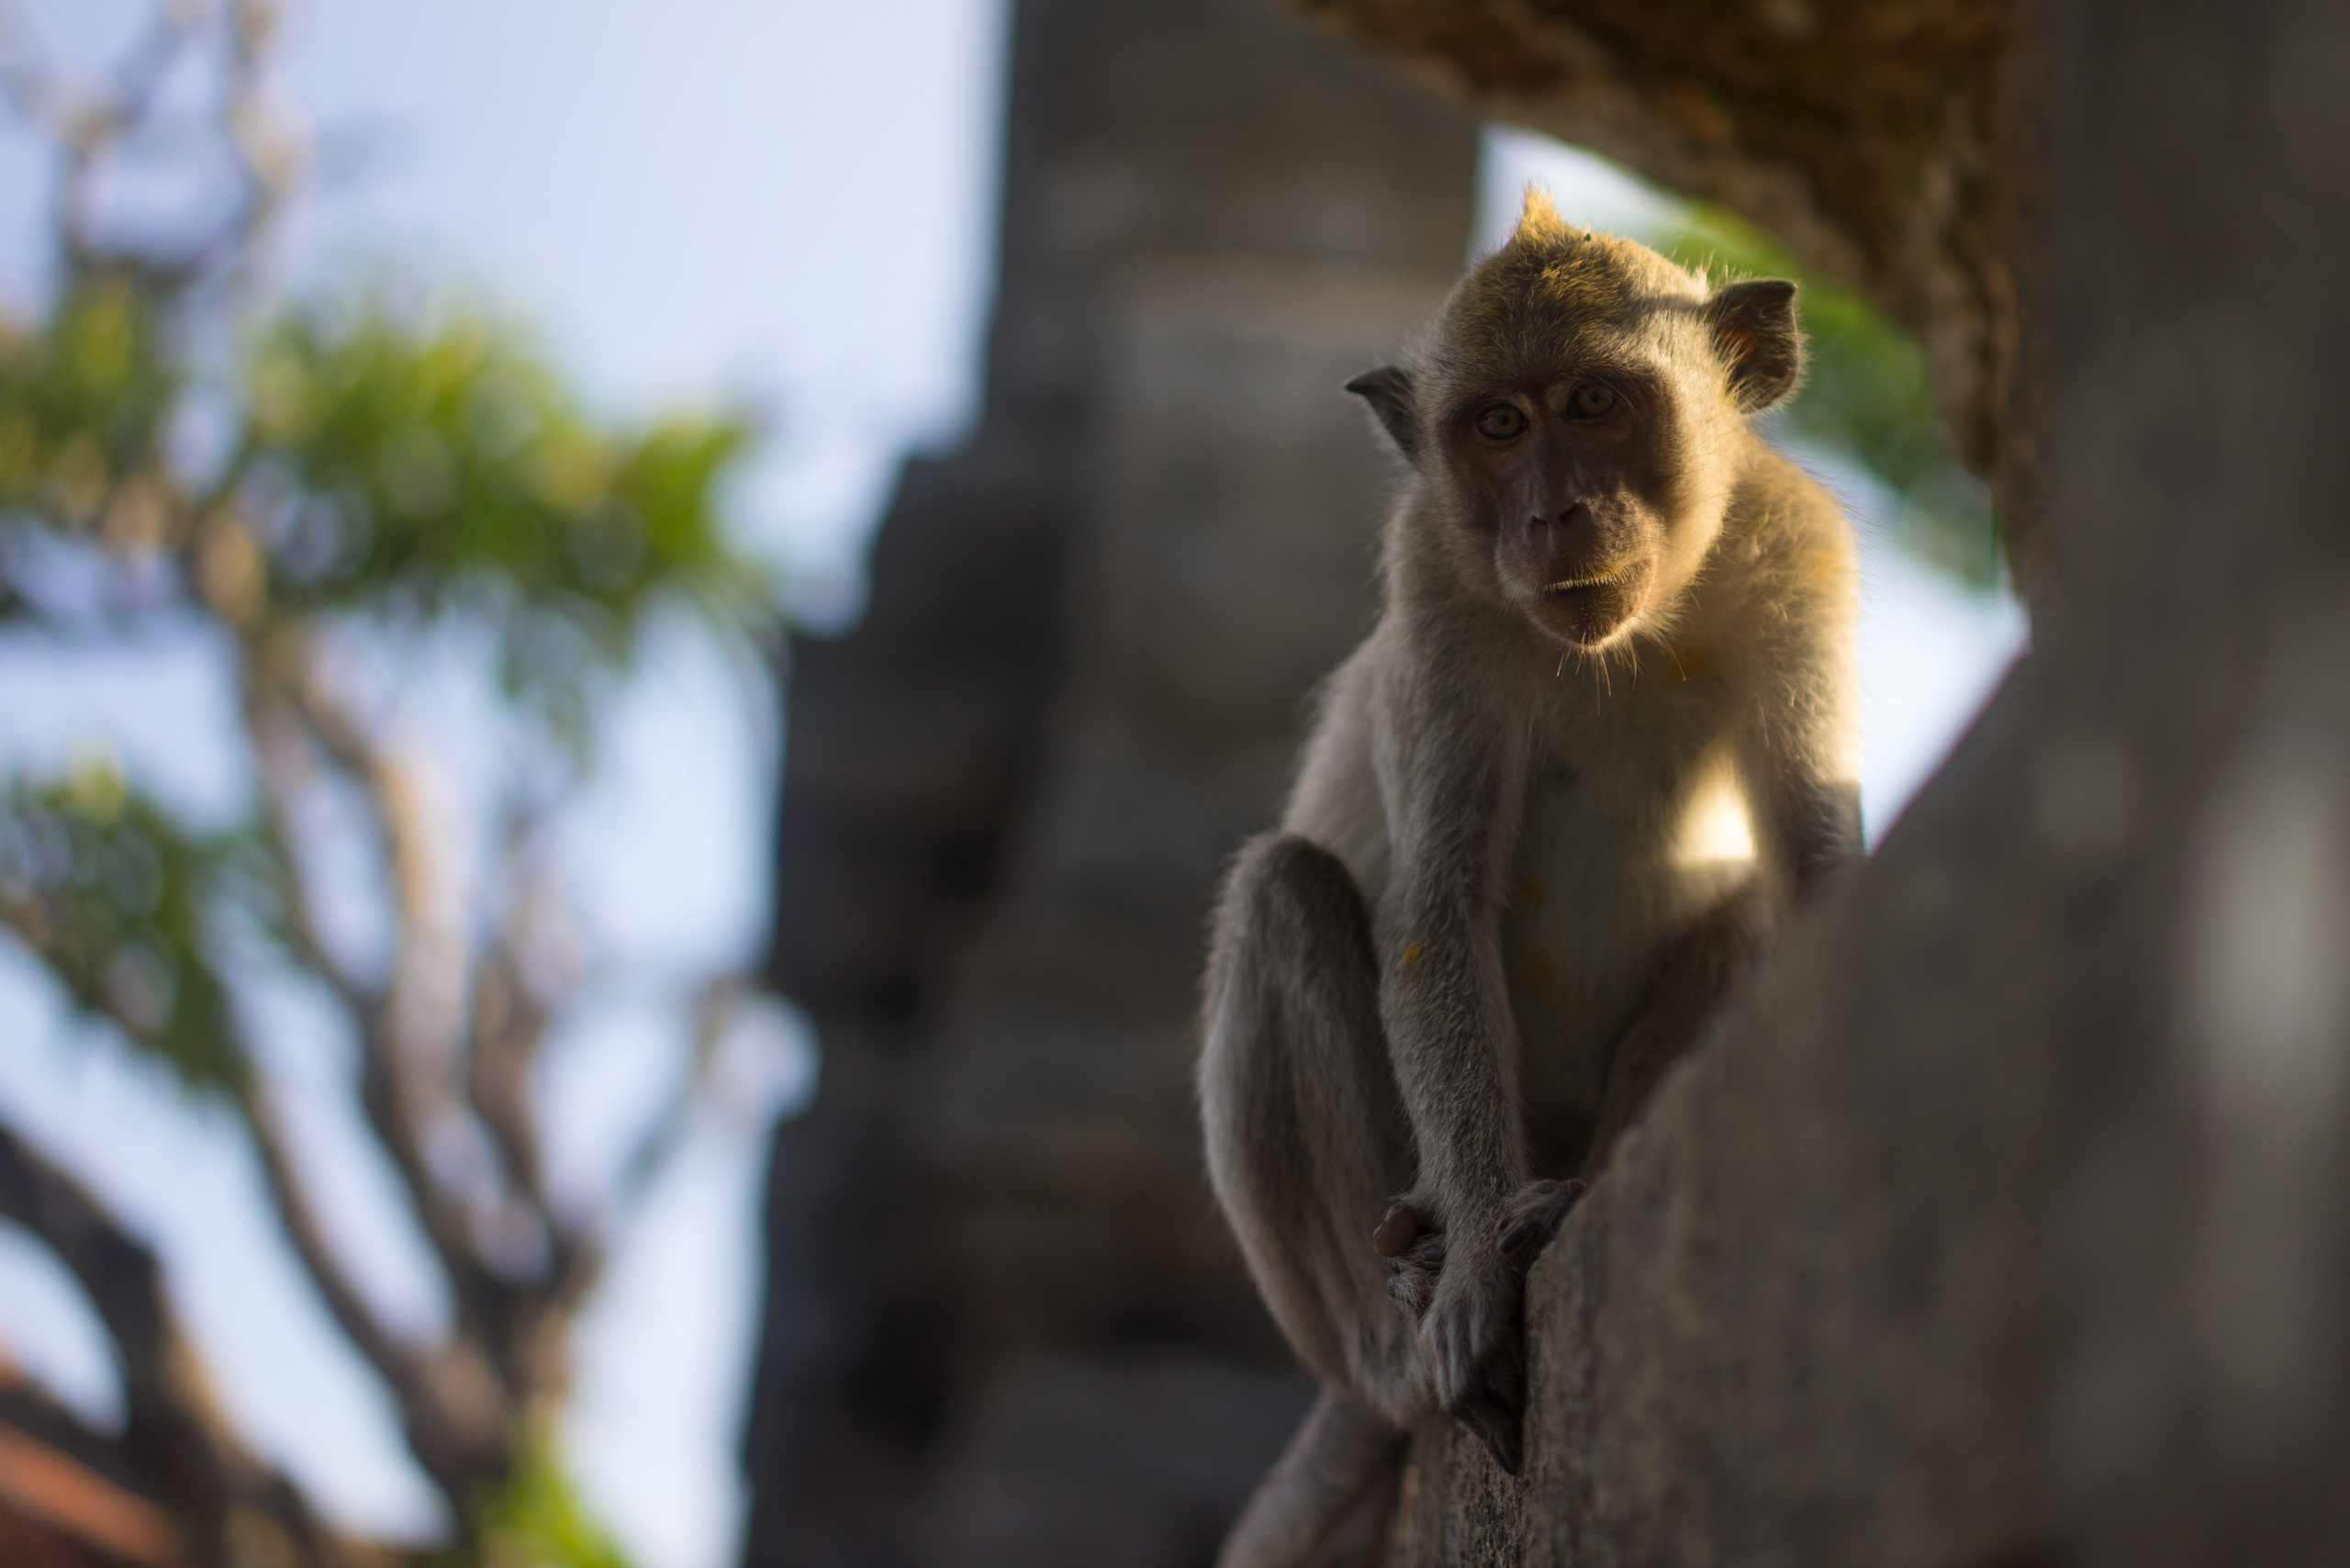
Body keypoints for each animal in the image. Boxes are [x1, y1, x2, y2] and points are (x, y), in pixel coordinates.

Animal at [1197, 188, 1862, 1566]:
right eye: (1499, 428)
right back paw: (1403, 1325)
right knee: (1283, 894)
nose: (1552, 517)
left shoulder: (1798, 556)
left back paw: (1563, 1196)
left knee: (1743, 911)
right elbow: (1435, 912)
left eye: (1595, 405)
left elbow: (1813, 862)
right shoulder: (1437, 582)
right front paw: (1478, 1288)